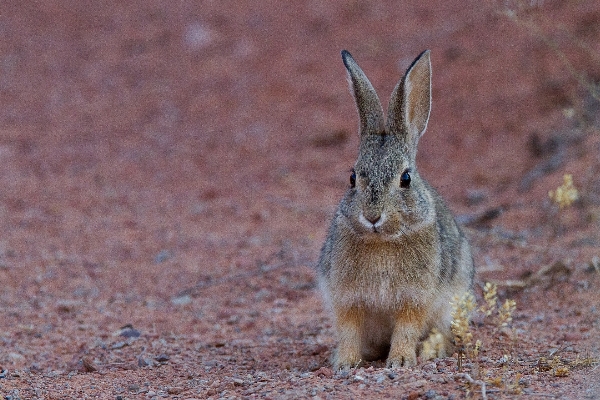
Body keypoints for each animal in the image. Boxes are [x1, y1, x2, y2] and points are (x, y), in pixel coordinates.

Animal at [316, 50, 476, 372]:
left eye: (406, 178)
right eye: (352, 177)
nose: (372, 216)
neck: (382, 241)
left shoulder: (415, 299)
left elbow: (406, 328)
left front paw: (400, 361)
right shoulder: (347, 299)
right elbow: (349, 330)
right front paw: (345, 363)